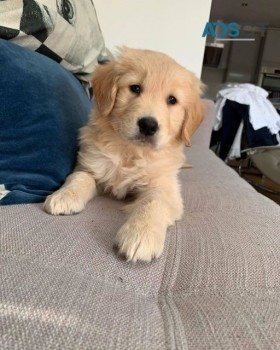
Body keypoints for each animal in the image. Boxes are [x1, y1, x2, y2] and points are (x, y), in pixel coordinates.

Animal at [44, 47, 205, 262]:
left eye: (172, 100)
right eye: (135, 88)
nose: (148, 125)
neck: (130, 151)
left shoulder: (165, 187)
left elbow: (153, 202)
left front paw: (141, 235)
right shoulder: (90, 164)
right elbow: (80, 177)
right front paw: (64, 196)